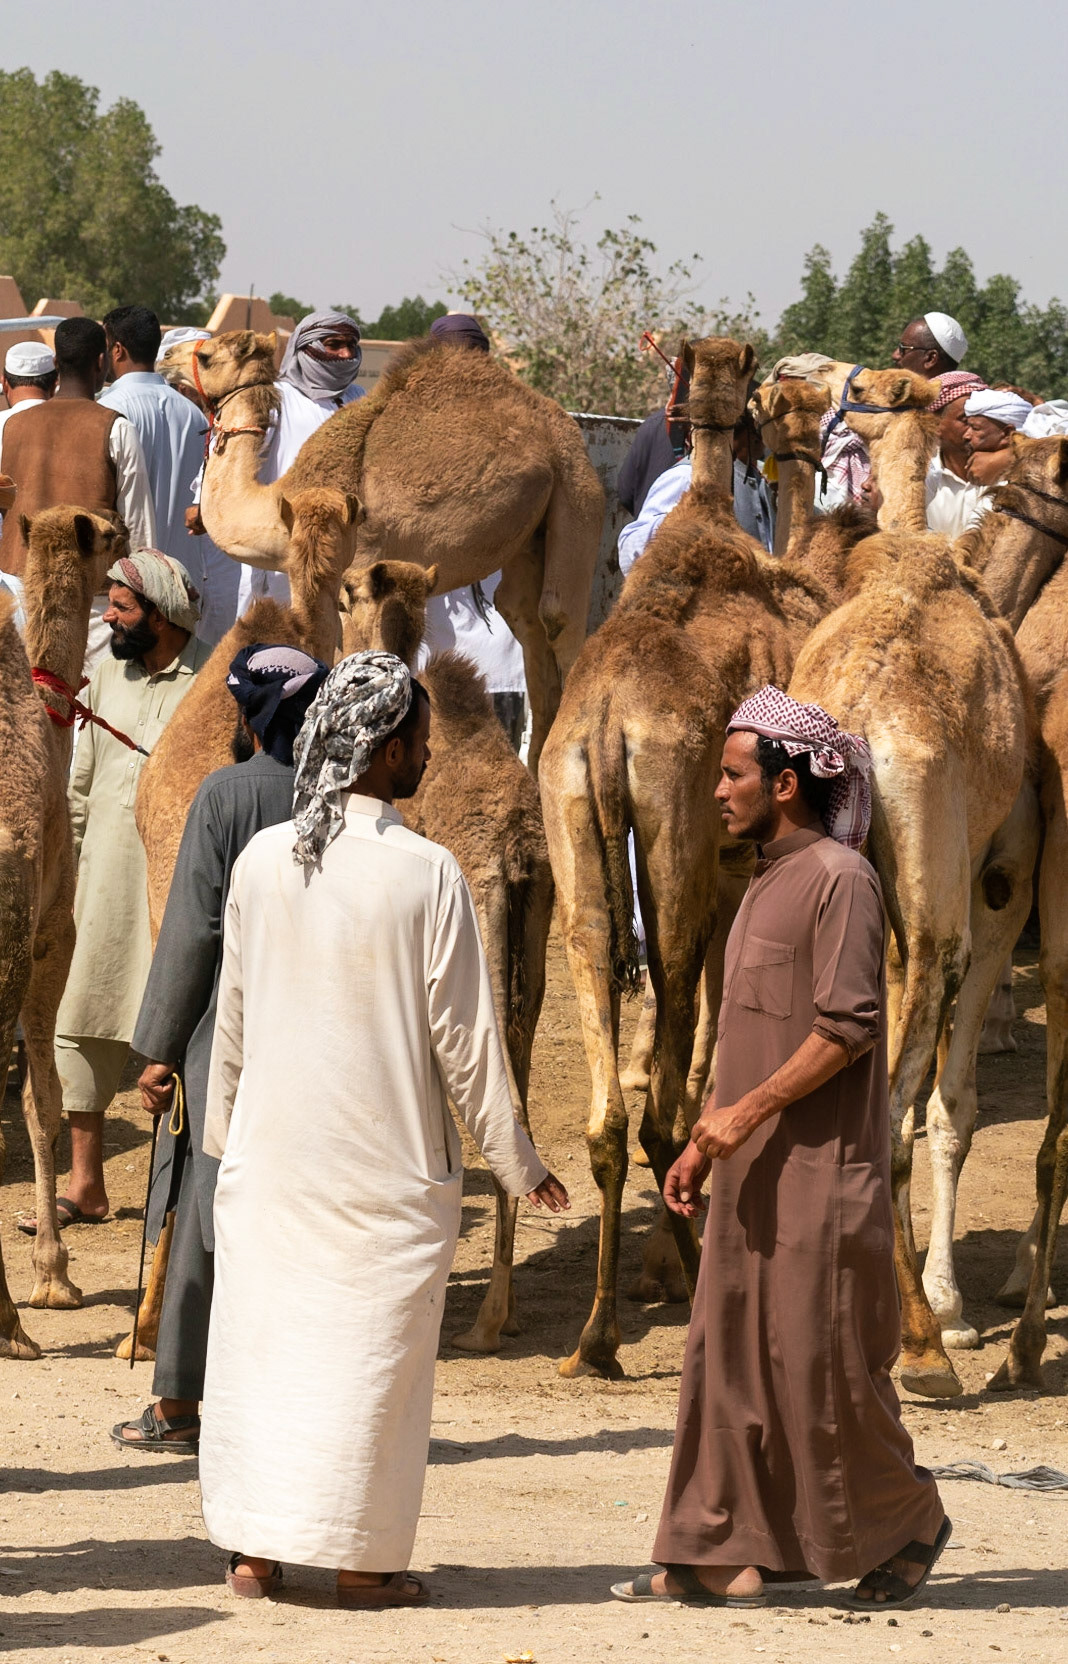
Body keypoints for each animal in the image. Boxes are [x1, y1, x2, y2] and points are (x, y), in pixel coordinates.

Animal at [159, 330, 605, 769]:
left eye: (207, 355)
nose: (166, 357)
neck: (278, 504)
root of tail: (560, 421)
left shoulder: (353, 568)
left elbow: (346, 647)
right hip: (532, 532)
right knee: (522, 616)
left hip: (577, 487)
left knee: (559, 618)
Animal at [341, 560, 555, 1353]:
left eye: (348, 592)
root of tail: (517, 844)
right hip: (534, 939)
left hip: (482, 932)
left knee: (507, 1098)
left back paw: (488, 1320)